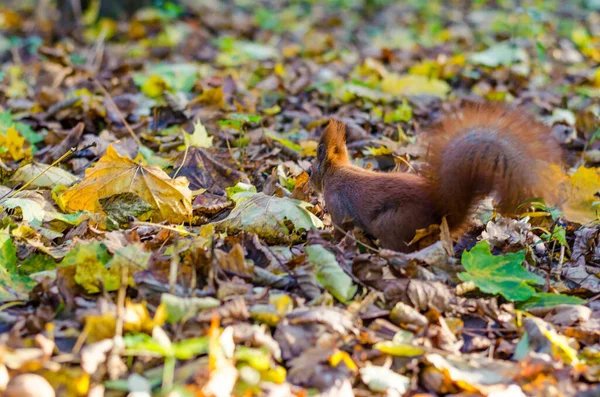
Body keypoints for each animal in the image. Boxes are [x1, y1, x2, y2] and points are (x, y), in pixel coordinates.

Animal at [310, 103, 564, 251]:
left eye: (311, 171)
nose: (310, 182)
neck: (336, 172)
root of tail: (442, 217)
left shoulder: (337, 203)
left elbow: (340, 227)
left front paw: (326, 239)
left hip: (392, 223)